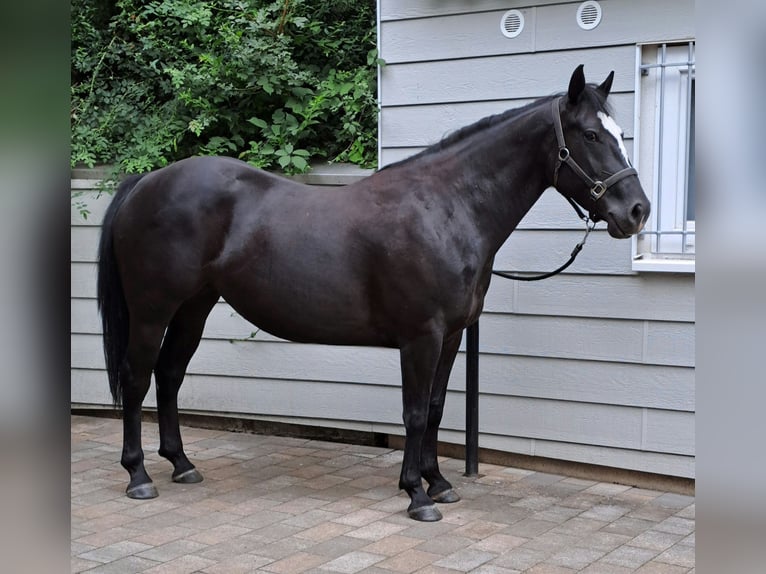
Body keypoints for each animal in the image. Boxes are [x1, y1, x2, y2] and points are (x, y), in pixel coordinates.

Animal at [96, 65, 649, 522]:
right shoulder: (420, 337)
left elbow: (435, 408)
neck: (446, 208)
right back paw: (139, 475)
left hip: (195, 307)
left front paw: (439, 482)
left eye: (621, 134)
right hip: (152, 310)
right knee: (138, 377)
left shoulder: (450, 336)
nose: (637, 212)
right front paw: (417, 496)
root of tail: (146, 181)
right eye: (591, 134)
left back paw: (181, 464)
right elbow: (412, 412)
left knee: (169, 375)